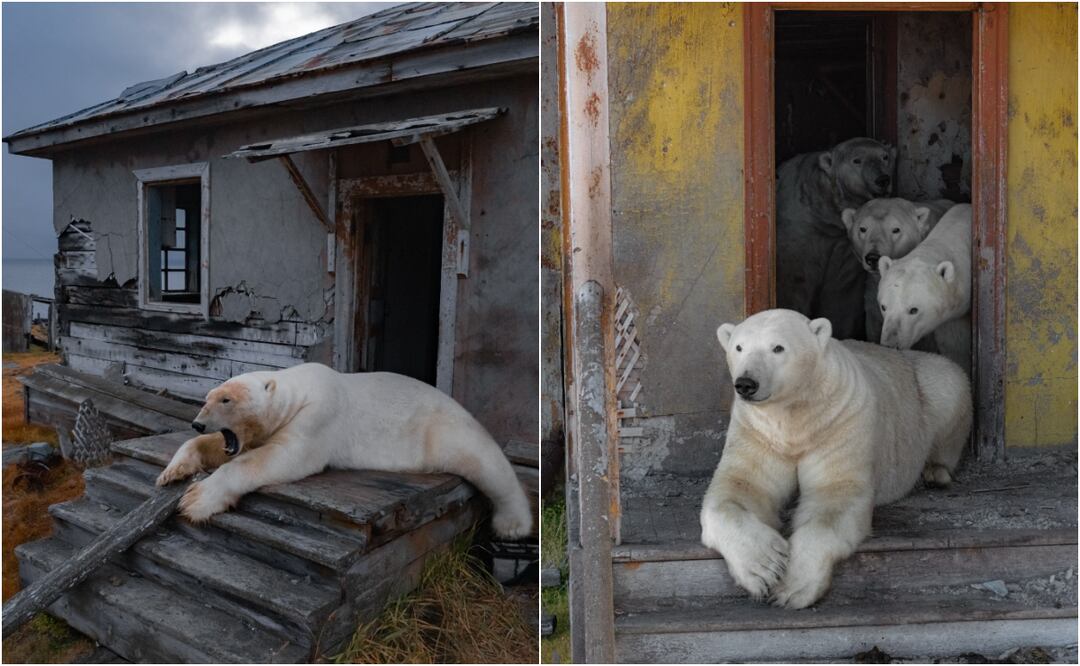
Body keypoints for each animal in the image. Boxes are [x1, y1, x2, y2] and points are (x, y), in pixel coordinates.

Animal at [157, 363, 533, 539]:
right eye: (207, 397)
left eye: (226, 399)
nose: (197, 423)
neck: (299, 390)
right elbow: (225, 448)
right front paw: (173, 471)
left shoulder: (318, 417)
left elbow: (279, 457)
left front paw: (196, 500)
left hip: (444, 430)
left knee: (487, 464)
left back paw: (513, 524)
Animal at [700, 309, 971, 609]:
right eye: (739, 347)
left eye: (778, 348)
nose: (746, 383)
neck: (795, 416)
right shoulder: (758, 431)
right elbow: (740, 486)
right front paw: (764, 567)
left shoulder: (839, 422)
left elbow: (834, 495)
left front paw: (792, 587)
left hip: (930, 385)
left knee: (950, 387)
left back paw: (936, 472)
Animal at [776, 137, 897, 341]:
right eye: (857, 160)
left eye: (885, 157)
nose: (883, 179)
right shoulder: (801, 231)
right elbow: (795, 279)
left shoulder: (843, 243)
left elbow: (841, 291)